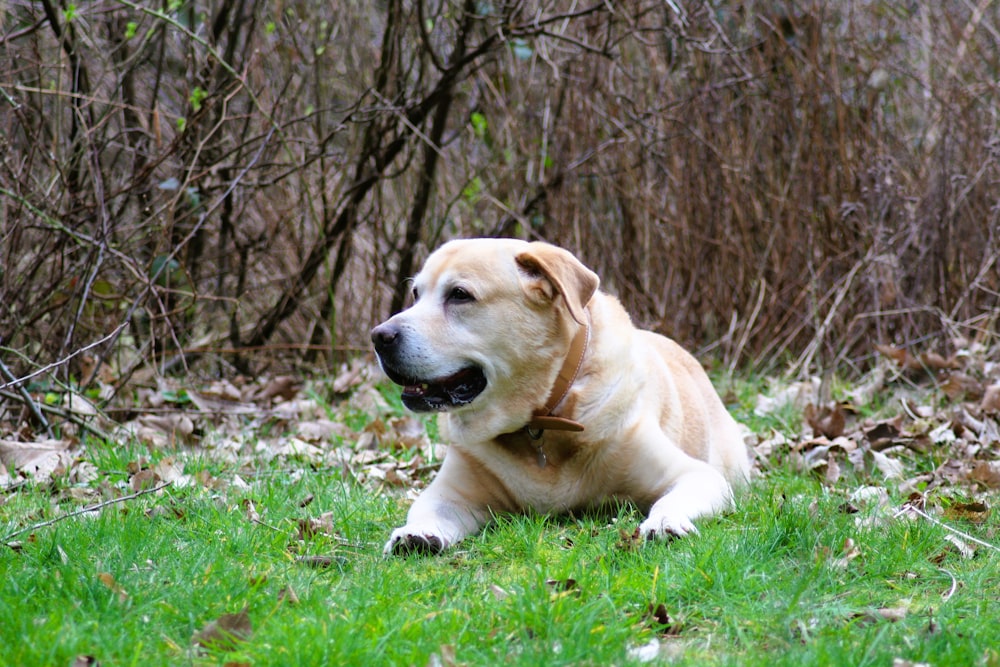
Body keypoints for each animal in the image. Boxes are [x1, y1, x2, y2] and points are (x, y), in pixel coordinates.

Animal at [374, 237, 752, 556]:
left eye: (459, 294)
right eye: (416, 294)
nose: (379, 336)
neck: (544, 416)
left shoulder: (696, 476)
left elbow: (671, 498)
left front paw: (663, 522)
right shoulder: (450, 492)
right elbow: (427, 509)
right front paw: (415, 533)